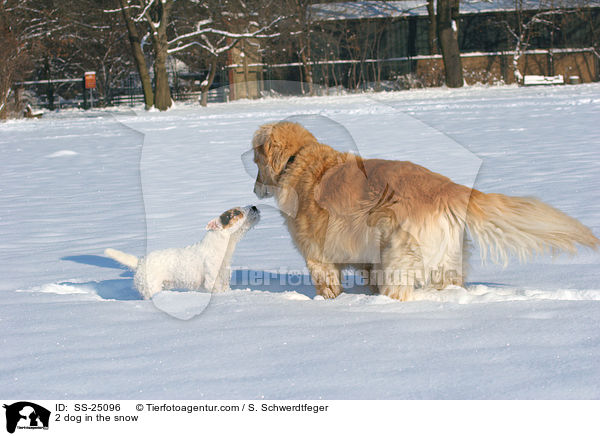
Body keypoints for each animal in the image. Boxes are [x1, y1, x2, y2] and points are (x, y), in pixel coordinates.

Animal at [106, 206, 260, 298]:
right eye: (236, 213)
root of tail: (140, 262)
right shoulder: (211, 281)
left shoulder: (223, 279)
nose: (254, 206)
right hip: (152, 288)